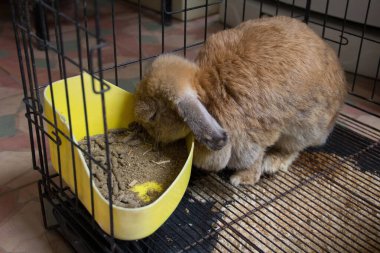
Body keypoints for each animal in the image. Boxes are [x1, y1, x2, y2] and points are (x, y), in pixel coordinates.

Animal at [134, 15, 348, 186]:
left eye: (153, 117)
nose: (144, 131)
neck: (207, 92)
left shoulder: (250, 140)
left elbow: (254, 158)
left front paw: (242, 179)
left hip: (304, 128)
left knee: (294, 149)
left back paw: (273, 162)